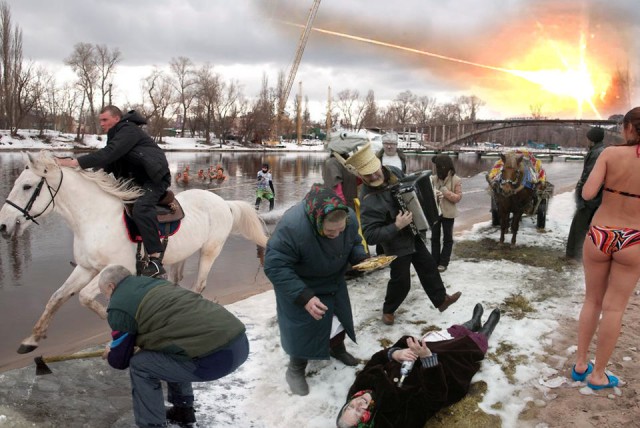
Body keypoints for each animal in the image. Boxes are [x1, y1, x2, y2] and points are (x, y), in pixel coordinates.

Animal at [0, 152, 268, 352]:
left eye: (27, 186)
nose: (3, 225)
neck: (95, 218)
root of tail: (225, 203)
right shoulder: (86, 268)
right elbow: (57, 298)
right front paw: (32, 339)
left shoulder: (117, 268)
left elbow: (85, 297)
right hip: (180, 257)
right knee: (176, 282)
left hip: (210, 251)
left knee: (199, 285)